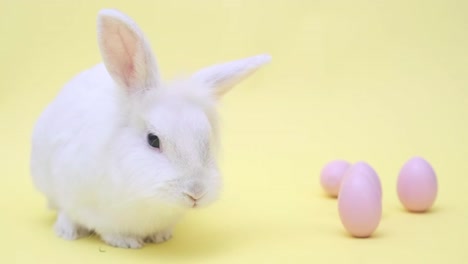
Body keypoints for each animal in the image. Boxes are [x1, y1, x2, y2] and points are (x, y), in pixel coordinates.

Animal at [30, 7, 270, 248]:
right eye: (153, 140)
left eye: (207, 139)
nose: (196, 192)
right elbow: (104, 228)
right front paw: (126, 242)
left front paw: (162, 237)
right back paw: (68, 231)